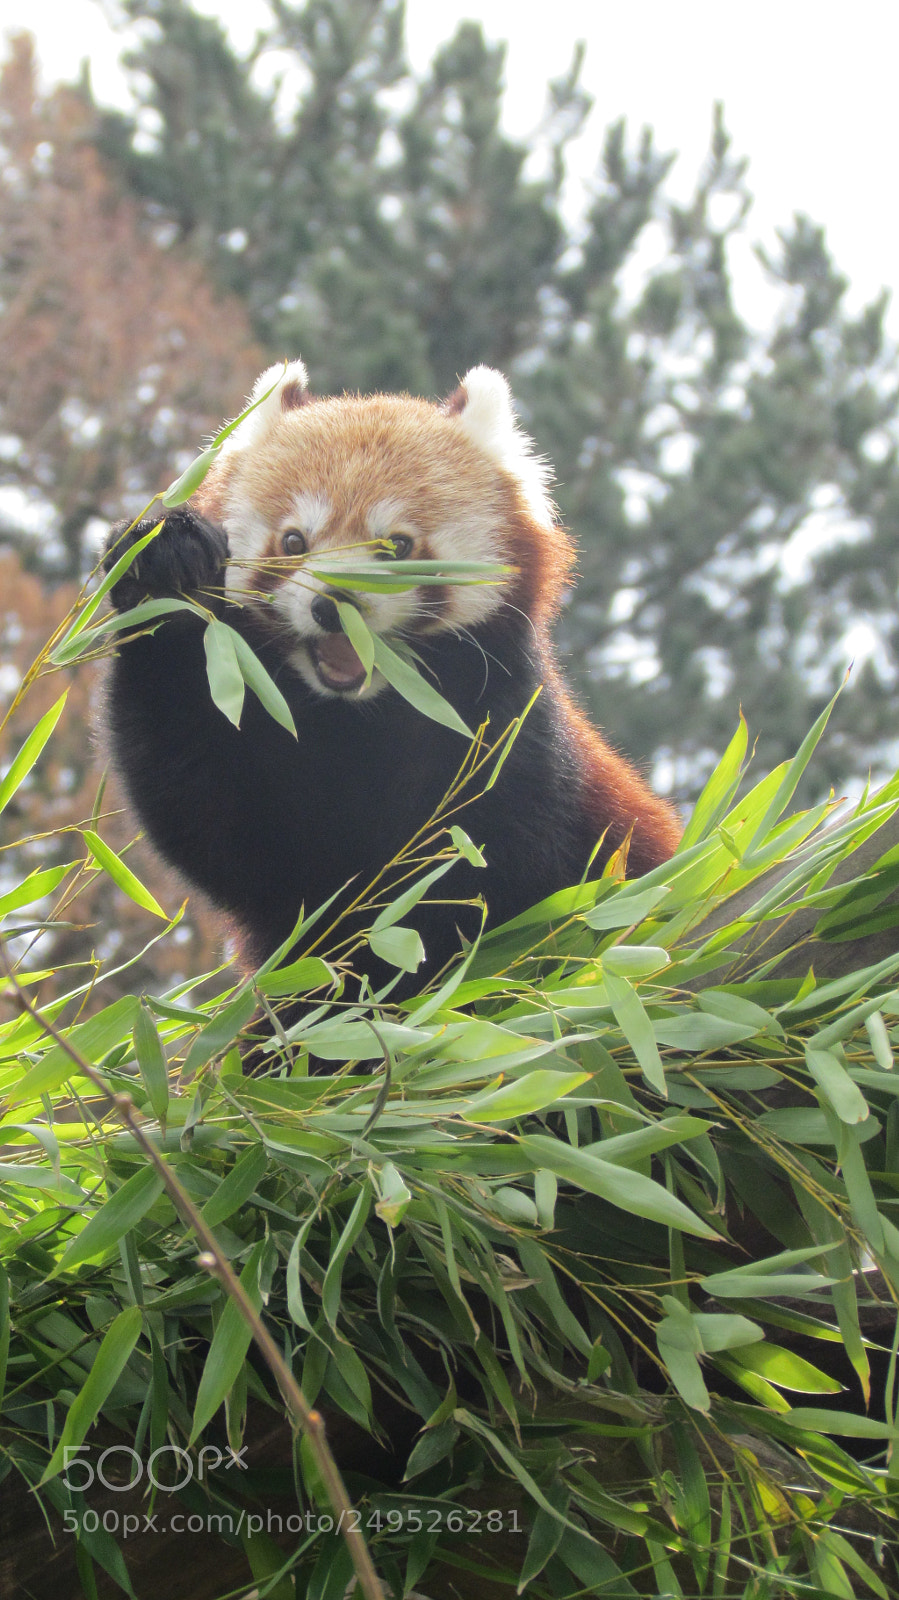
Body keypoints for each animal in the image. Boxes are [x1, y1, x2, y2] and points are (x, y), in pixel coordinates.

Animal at [103, 360, 680, 999]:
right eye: (294, 541)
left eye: (397, 545)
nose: (334, 605)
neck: (362, 718)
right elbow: (209, 816)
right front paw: (166, 562)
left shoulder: (507, 737)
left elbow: (492, 880)